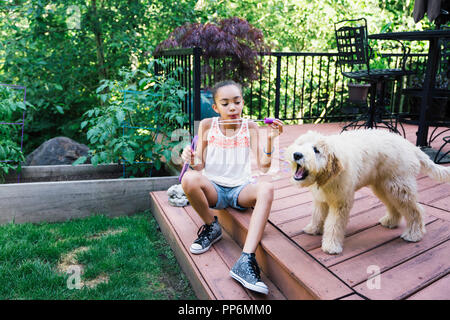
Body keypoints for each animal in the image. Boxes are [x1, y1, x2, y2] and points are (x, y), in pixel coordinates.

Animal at [284, 129, 450, 255]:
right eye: (300, 144)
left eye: (316, 150)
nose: (297, 154)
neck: (326, 176)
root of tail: (410, 146)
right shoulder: (321, 199)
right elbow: (318, 215)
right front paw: (313, 229)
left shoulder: (341, 202)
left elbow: (334, 225)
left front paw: (331, 246)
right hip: (383, 187)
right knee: (394, 206)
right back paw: (391, 221)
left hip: (399, 187)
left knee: (416, 210)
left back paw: (414, 234)